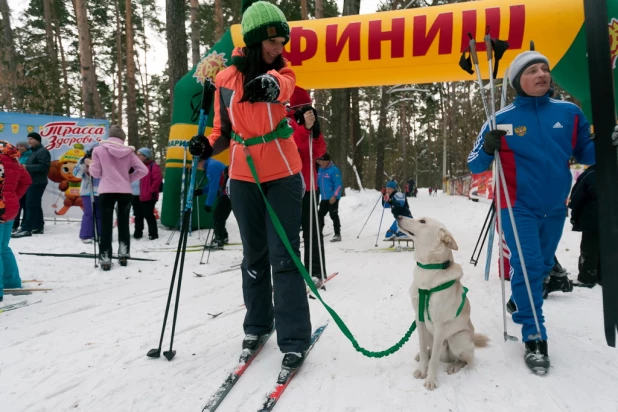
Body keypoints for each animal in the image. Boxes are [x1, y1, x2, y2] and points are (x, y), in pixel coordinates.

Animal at [394, 216, 486, 390]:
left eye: (422, 221)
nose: (398, 216)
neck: (428, 270)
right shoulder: (419, 320)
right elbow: (424, 350)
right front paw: (422, 370)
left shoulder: (440, 326)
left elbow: (434, 360)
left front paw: (430, 380)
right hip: (431, 334)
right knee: (432, 352)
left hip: (457, 338)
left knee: (466, 360)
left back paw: (454, 366)